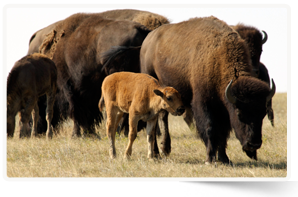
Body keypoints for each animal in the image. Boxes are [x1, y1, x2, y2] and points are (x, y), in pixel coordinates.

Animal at [101, 16, 276, 164]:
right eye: (240, 114)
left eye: (263, 113)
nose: (253, 144)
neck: (217, 57)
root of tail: (148, 39)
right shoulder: (203, 103)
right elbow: (210, 128)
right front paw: (209, 159)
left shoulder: (223, 107)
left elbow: (223, 132)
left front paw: (224, 158)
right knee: (159, 120)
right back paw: (158, 152)